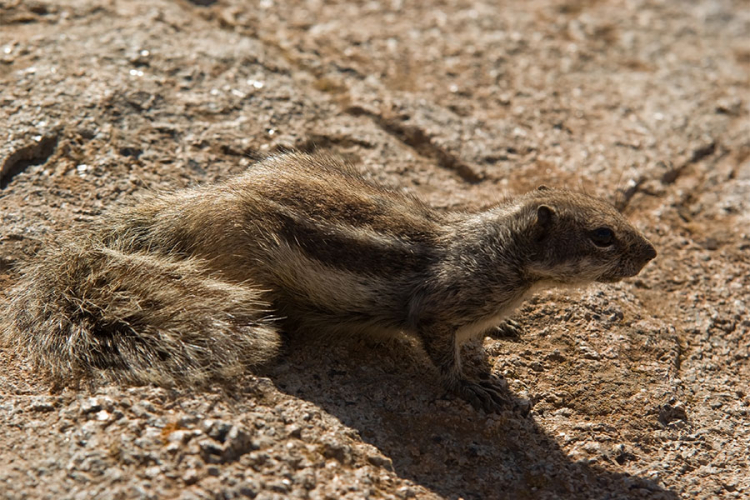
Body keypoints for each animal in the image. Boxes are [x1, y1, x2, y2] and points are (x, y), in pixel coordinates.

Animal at [1, 151, 656, 410]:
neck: (497, 250)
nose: (652, 252)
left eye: (613, 215)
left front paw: (503, 335)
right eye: (603, 234)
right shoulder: (439, 307)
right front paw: (473, 387)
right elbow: (442, 352)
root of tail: (191, 208)